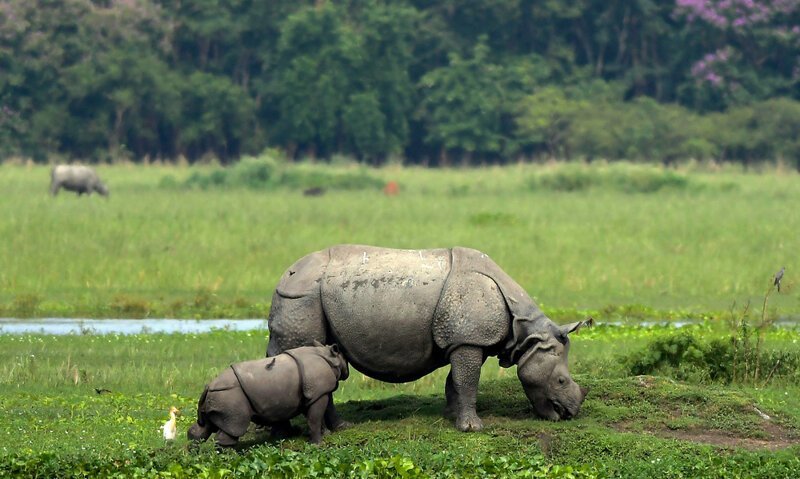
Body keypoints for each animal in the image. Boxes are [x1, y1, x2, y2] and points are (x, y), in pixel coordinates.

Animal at [189, 344, 352, 444]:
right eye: (344, 359)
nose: (347, 372)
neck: (327, 357)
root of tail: (208, 387)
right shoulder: (318, 392)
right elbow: (315, 418)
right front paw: (317, 444)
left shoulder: (311, 394)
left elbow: (314, 415)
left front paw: (326, 435)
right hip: (230, 395)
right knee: (235, 426)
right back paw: (230, 458)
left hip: (218, 397)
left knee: (206, 426)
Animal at [268, 246, 588, 434]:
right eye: (560, 380)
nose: (572, 412)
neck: (526, 331)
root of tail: (285, 274)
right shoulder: (468, 339)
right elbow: (467, 380)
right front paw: (473, 428)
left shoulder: (465, 339)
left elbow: (456, 381)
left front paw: (453, 416)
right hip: (302, 297)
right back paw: (288, 432)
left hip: (303, 296)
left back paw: (340, 427)